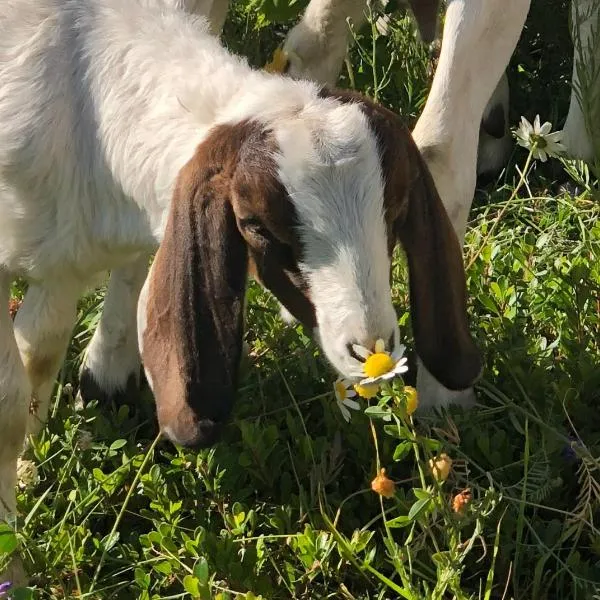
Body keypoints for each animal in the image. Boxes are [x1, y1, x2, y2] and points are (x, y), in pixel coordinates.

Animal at [0, 0, 478, 576]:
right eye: (256, 226)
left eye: (396, 206)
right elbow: (9, 400)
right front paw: (12, 561)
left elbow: (44, 346)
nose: (370, 351)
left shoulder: (64, 254)